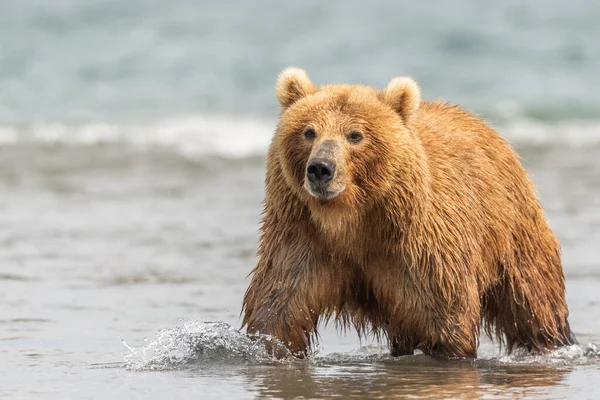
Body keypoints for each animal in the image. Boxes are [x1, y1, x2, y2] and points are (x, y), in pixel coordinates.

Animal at [240, 67, 576, 358]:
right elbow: (279, 308)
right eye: (309, 131)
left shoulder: (421, 251)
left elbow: (443, 320)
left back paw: (553, 341)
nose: (321, 168)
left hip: (513, 233)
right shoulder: (302, 237)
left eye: (355, 135)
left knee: (532, 300)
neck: (350, 219)